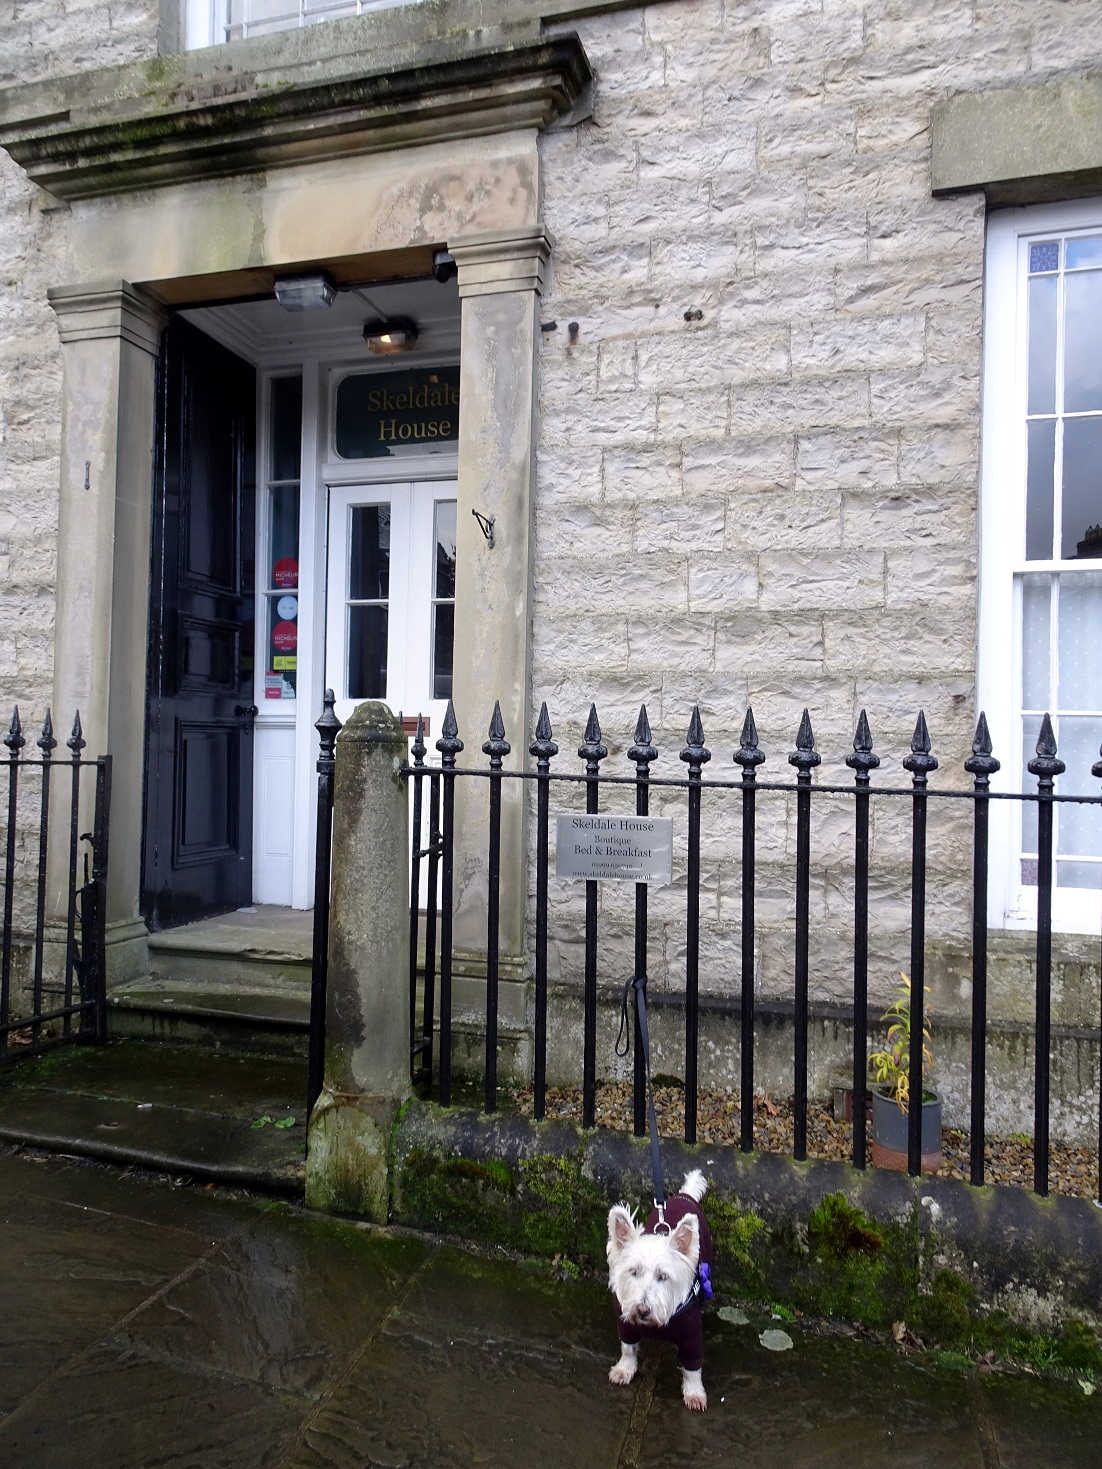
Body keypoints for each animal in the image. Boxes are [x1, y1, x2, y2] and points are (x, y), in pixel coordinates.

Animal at [605, 1169, 717, 1410]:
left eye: (663, 1276)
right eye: (633, 1271)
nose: (642, 1310)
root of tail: (685, 1195)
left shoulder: (691, 1335)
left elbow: (693, 1368)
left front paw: (694, 1394)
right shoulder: (625, 1323)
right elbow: (628, 1348)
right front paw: (623, 1370)